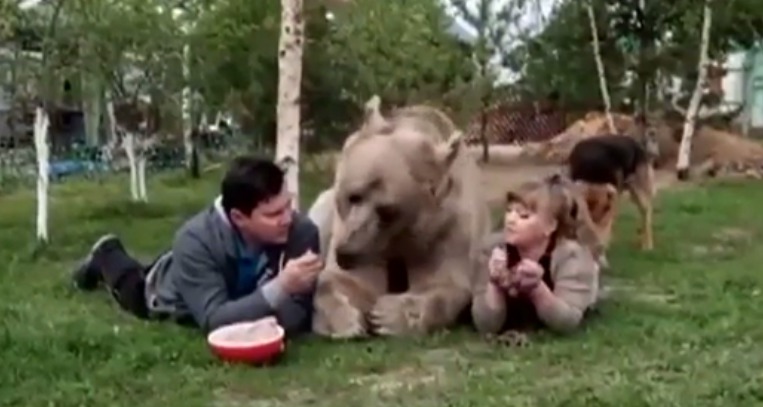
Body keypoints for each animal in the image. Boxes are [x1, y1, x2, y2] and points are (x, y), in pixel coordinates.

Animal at [309, 95, 492, 339]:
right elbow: (347, 280)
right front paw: (347, 319)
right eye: (354, 195)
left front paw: (387, 315)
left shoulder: (446, 225)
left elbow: (443, 283)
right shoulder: (354, 233)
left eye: (387, 210)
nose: (347, 253)